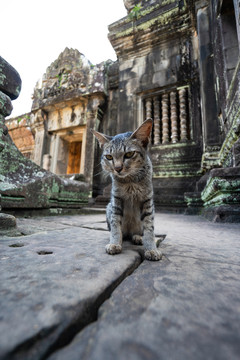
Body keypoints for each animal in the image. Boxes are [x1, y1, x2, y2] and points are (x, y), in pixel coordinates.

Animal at [91, 119, 162, 260]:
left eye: (129, 154)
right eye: (109, 157)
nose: (117, 168)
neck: (130, 181)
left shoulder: (147, 201)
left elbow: (149, 228)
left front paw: (151, 249)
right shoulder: (116, 200)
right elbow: (115, 226)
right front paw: (114, 243)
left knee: (139, 232)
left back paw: (138, 237)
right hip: (109, 207)